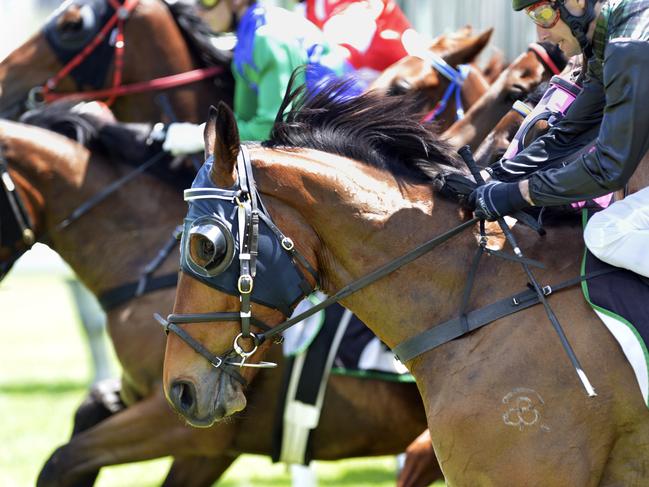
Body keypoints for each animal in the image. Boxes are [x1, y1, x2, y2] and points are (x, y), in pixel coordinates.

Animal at [1, 111, 436, 487]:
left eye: (207, 247)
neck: (146, 267)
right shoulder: (185, 415)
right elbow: (89, 407)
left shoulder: (190, 428)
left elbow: (63, 459)